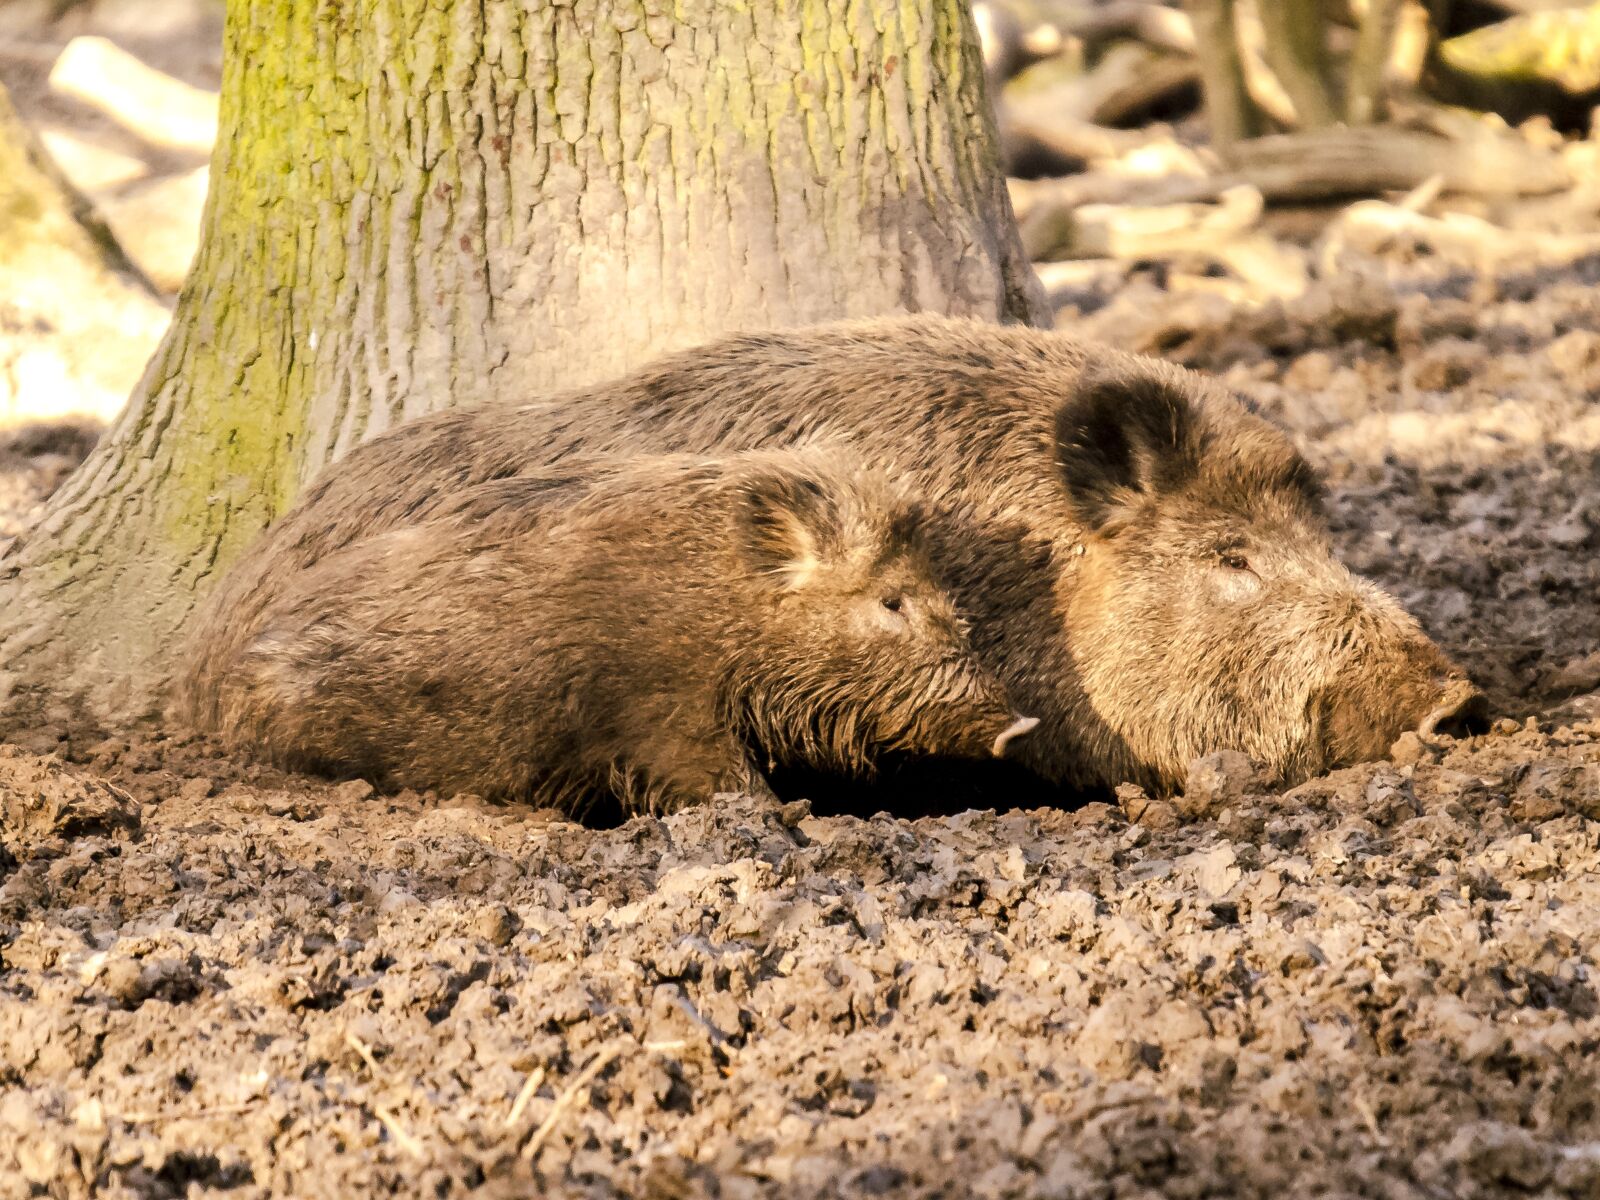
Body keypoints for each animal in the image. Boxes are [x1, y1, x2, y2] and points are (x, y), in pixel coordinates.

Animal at [181, 447, 1036, 815]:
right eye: (891, 602)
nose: (1020, 725)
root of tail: (216, 684)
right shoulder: (663, 713)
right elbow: (724, 781)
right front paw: (786, 820)